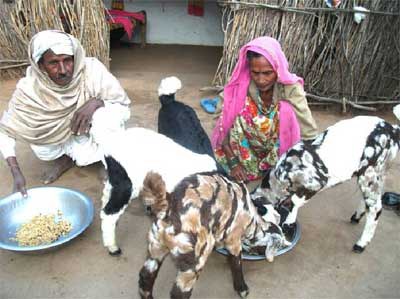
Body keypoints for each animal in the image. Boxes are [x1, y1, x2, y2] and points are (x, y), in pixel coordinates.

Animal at [138, 171, 288, 299]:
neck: (253, 221)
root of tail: (168, 208)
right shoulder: (233, 241)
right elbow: (236, 264)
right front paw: (242, 289)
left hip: (155, 248)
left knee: (145, 280)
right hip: (194, 262)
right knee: (178, 294)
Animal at [253, 109, 400, 252]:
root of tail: (393, 129)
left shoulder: (316, 182)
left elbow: (295, 201)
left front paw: (289, 222)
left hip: (369, 172)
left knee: (375, 208)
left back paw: (361, 244)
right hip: (379, 172)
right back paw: (357, 216)